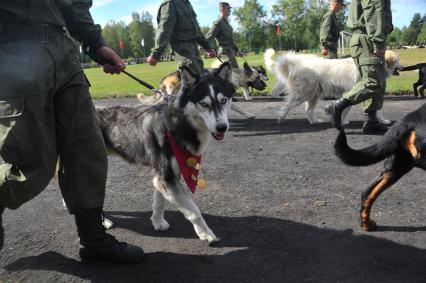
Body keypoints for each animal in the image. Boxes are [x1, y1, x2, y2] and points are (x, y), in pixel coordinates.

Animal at [98, 63, 235, 244]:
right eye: (204, 104)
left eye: (223, 100)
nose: (222, 127)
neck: (178, 124)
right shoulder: (167, 177)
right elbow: (194, 211)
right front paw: (206, 233)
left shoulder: (164, 177)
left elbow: (159, 202)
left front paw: (157, 221)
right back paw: (103, 221)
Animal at [264, 49, 404, 125]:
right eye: (397, 60)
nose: (403, 67)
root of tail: (300, 65)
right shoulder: (352, 92)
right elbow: (346, 108)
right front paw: (342, 120)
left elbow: (377, 110)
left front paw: (383, 121)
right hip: (303, 94)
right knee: (287, 106)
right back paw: (280, 118)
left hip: (313, 95)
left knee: (308, 110)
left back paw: (315, 121)